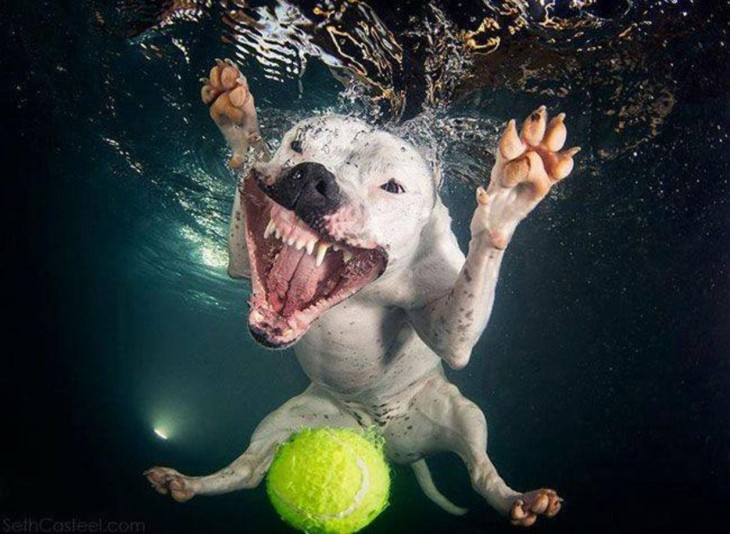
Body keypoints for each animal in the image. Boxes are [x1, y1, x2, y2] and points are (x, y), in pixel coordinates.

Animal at [146, 58, 580, 528]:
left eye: (392, 186)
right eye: (298, 144)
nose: (313, 175)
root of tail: (379, 437)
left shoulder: (451, 331)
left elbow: (462, 314)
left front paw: (509, 198)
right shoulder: (243, 260)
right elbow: (249, 187)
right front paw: (241, 126)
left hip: (461, 413)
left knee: (480, 470)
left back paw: (518, 499)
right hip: (288, 421)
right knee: (248, 468)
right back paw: (189, 483)